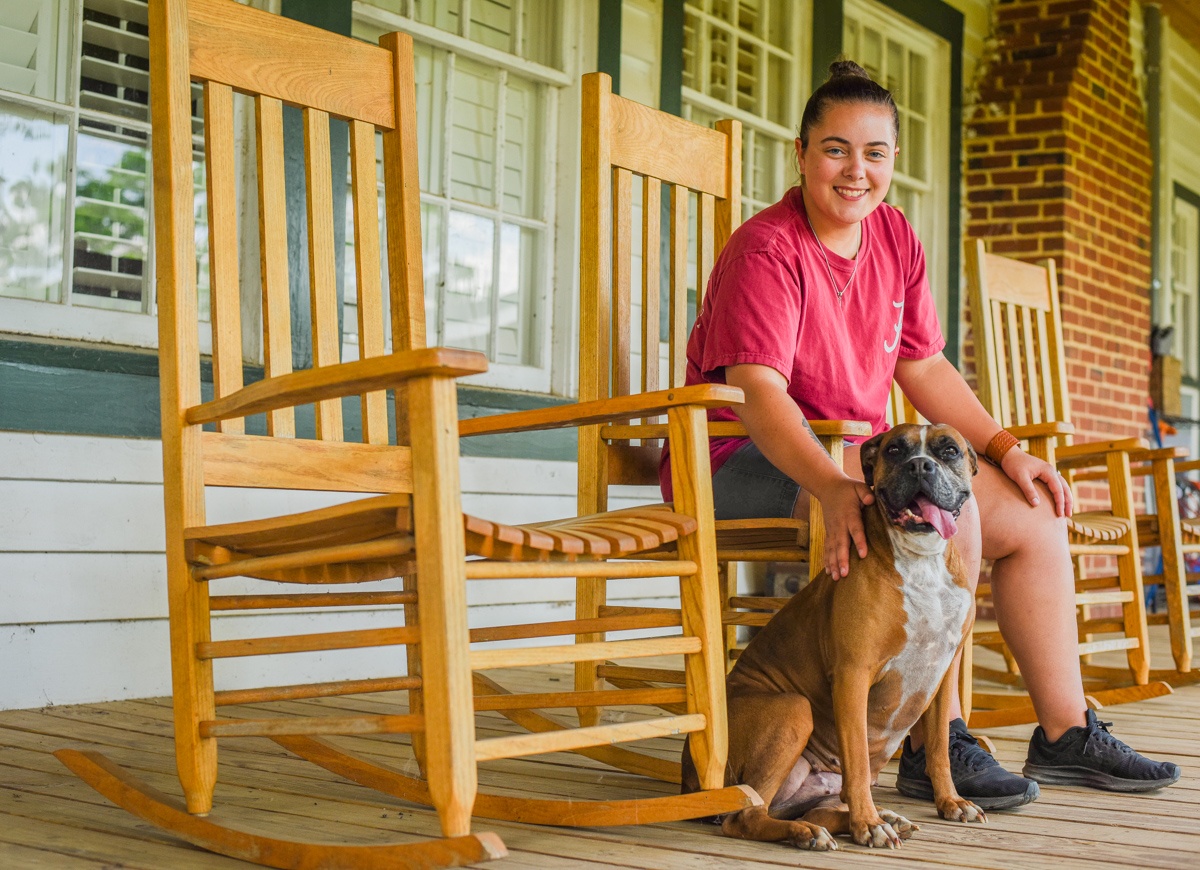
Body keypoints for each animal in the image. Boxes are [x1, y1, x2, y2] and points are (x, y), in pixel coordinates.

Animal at [686, 422, 984, 849]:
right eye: (894, 450)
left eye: (949, 451)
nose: (920, 466)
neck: (921, 560)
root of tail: (690, 778)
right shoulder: (853, 675)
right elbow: (856, 757)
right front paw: (867, 824)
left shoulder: (942, 676)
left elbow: (940, 747)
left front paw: (950, 802)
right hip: (793, 710)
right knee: (745, 816)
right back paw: (816, 831)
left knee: (819, 807)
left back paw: (881, 818)